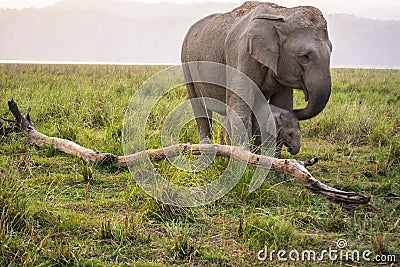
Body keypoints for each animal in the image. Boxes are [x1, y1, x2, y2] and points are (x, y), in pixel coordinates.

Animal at [181, 0, 332, 147]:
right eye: (305, 56)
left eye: (331, 50)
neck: (281, 13)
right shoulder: (242, 54)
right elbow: (241, 106)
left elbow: (283, 103)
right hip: (186, 61)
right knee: (199, 108)